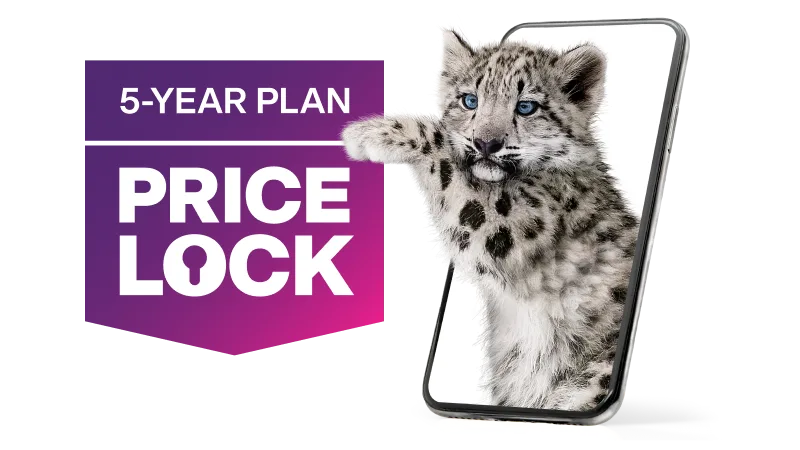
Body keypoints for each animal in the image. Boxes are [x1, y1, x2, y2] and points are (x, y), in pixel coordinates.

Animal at [340, 25, 640, 412]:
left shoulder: (514, 223)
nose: (485, 143)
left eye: (526, 106)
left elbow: (447, 156)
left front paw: (371, 133)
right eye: (470, 100)